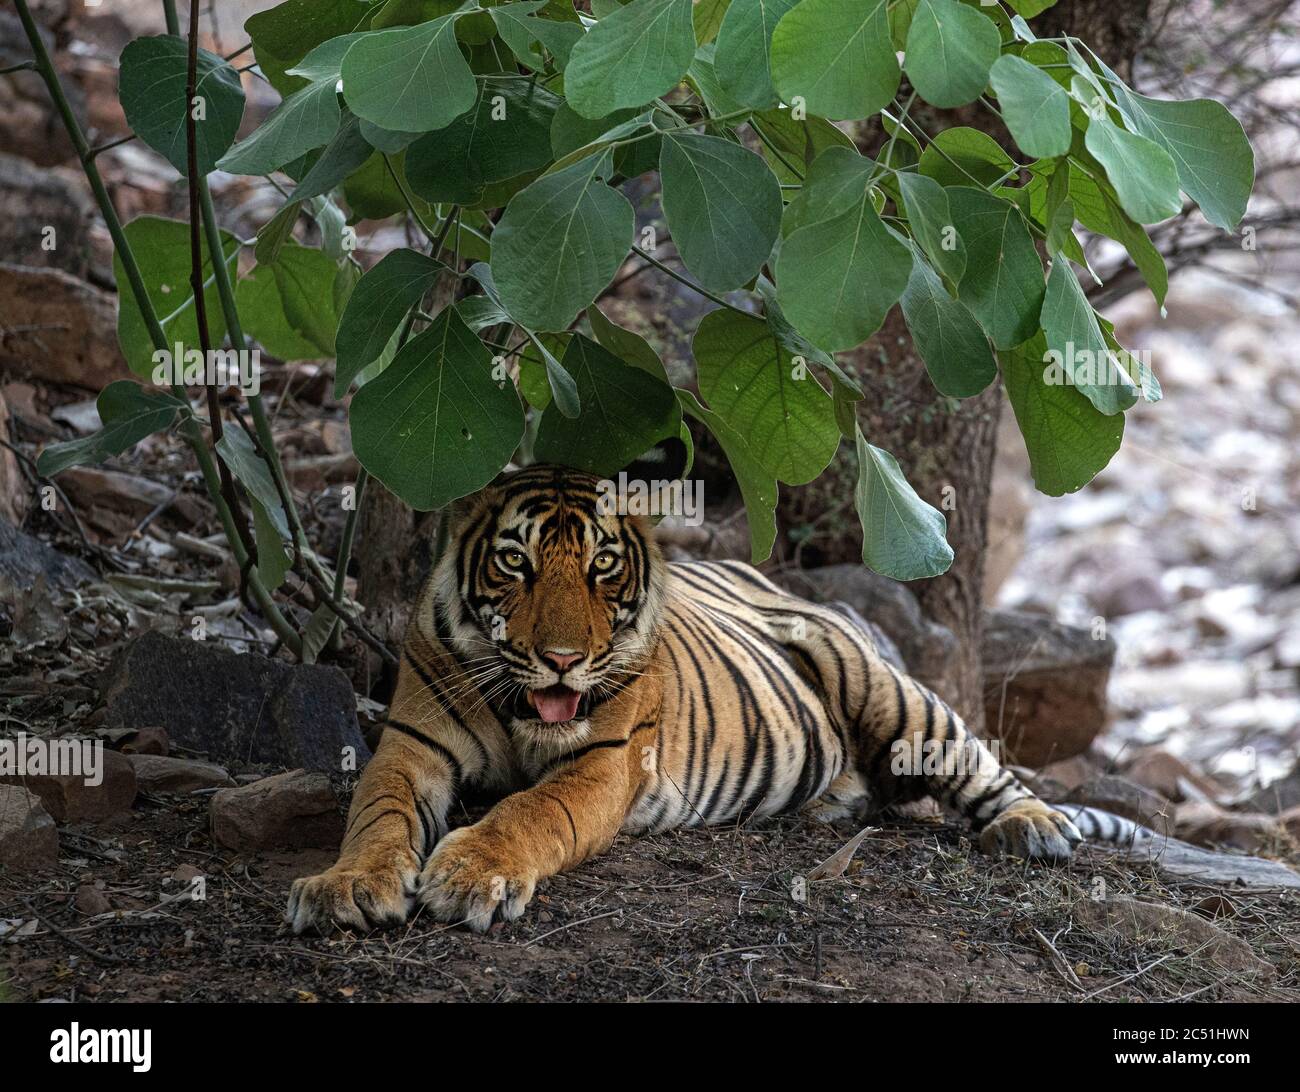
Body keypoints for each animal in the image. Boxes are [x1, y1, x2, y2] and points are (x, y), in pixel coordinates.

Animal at [287, 462, 1137, 935]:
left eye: (601, 566)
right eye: (514, 563)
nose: (561, 661)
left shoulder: (603, 762)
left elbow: (528, 812)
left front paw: (470, 875)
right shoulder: (410, 746)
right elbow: (378, 816)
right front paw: (346, 888)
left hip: (891, 695)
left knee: (983, 766)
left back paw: (1035, 828)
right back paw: (837, 805)